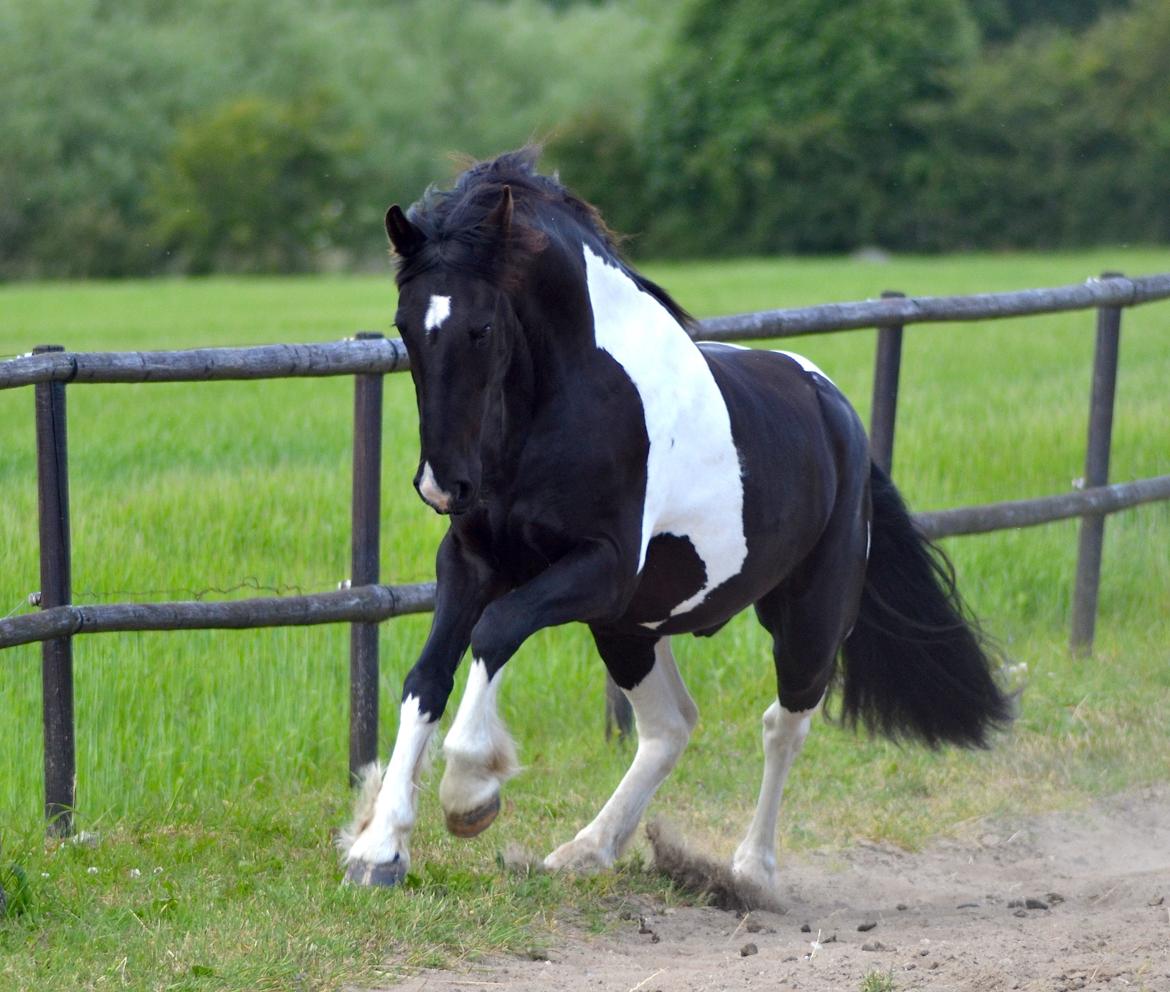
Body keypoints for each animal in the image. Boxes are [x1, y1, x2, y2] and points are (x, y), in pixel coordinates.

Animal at [341, 149, 1015, 889]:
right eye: (405, 327)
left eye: (482, 328)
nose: (443, 485)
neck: (568, 404)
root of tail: (838, 413)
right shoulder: (472, 562)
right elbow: (426, 678)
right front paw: (378, 850)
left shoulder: (600, 569)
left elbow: (494, 631)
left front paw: (470, 795)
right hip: (631, 627)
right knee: (672, 726)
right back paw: (586, 849)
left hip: (806, 618)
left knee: (784, 724)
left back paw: (751, 871)